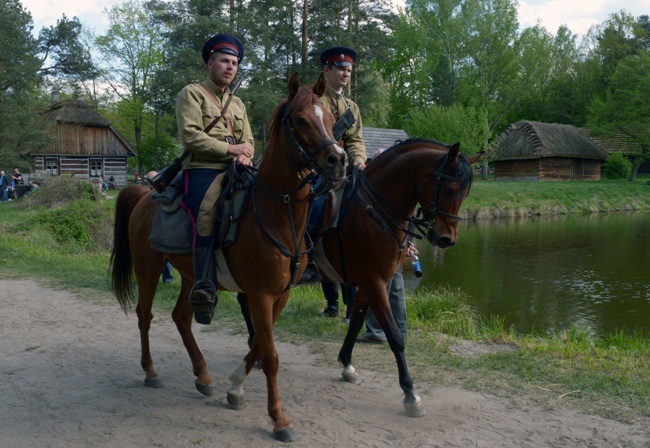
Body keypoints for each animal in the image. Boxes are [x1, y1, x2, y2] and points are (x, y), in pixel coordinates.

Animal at [109, 72, 346, 442]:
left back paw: (203, 375)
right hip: (149, 269)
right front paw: (279, 420)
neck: (276, 214)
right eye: (300, 120)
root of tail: (145, 194)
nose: (338, 161)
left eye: (332, 119)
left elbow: (260, 345)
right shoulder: (260, 295)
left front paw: (234, 388)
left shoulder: (280, 294)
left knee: (181, 317)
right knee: (144, 316)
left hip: (192, 276)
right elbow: (271, 355)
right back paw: (150, 372)